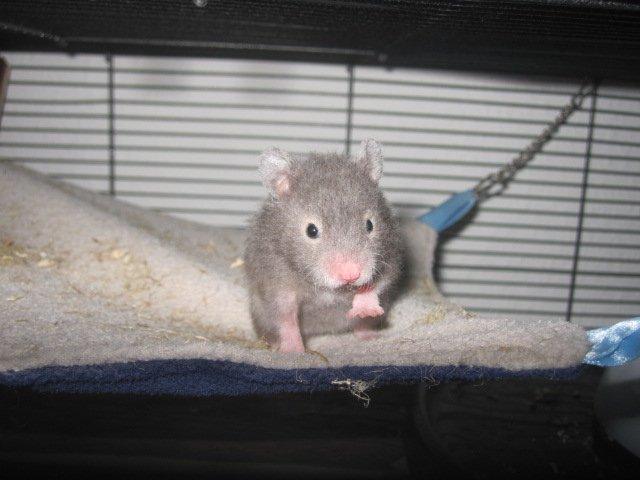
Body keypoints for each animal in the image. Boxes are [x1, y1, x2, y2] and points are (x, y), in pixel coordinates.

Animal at [244, 139, 403, 353]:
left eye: (370, 225)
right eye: (311, 230)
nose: (351, 275)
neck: (329, 289)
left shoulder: (389, 258)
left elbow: (377, 284)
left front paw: (364, 310)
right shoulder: (273, 278)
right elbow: (285, 317)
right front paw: (294, 350)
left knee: (362, 326)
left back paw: (369, 335)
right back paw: (275, 345)